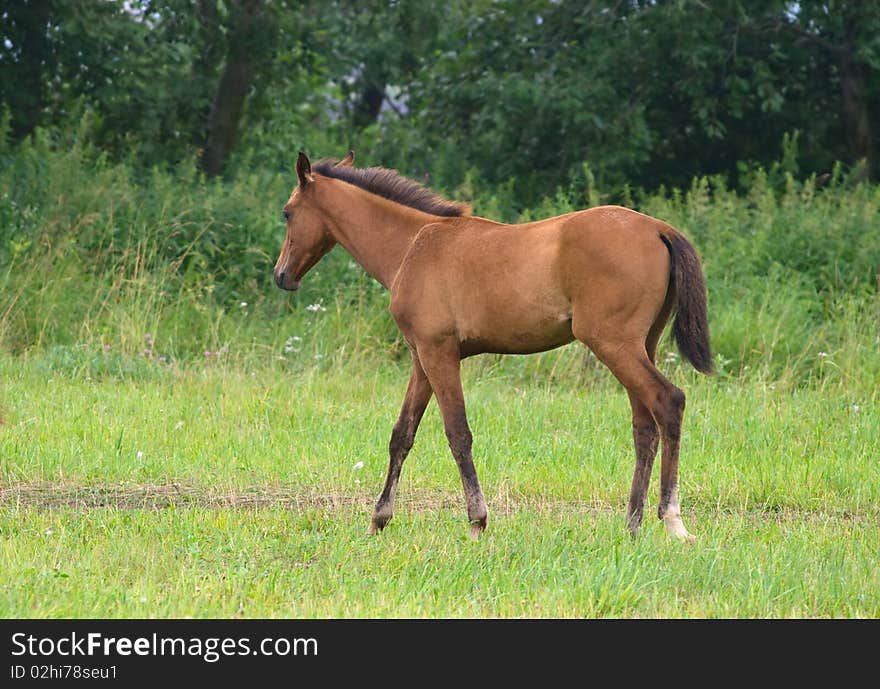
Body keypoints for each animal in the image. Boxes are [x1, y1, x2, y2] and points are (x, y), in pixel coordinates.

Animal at [272, 152, 712, 544]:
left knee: (668, 402)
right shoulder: (421, 359)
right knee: (644, 426)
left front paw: (477, 521)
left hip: (614, 344)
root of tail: (658, 228)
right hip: (640, 346)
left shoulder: (439, 354)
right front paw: (379, 519)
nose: (281, 276)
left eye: (287, 212)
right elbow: (402, 434)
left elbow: (457, 432)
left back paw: (673, 520)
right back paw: (632, 524)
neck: (413, 246)